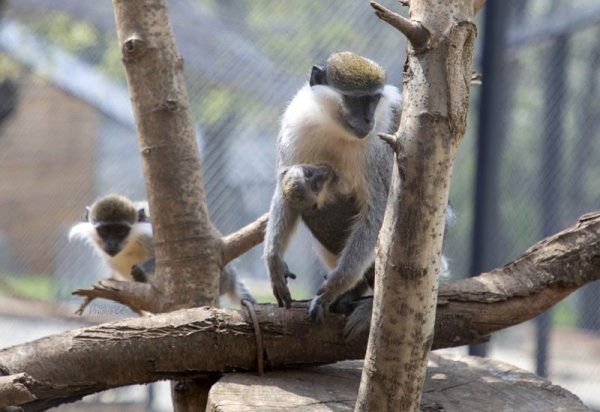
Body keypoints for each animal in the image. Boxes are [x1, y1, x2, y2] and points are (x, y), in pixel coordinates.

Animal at [264, 51, 400, 322]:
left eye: (374, 100)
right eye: (357, 100)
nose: (369, 119)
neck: (335, 127)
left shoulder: (378, 150)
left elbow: (378, 212)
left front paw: (338, 283)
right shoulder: (294, 125)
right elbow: (284, 186)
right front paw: (273, 260)